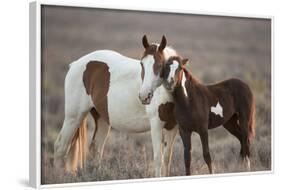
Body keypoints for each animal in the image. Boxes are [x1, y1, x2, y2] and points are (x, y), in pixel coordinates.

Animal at [53, 35, 178, 177]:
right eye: (142, 64)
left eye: (161, 65)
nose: (144, 95)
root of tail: (75, 64)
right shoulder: (156, 125)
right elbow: (158, 158)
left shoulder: (172, 127)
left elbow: (167, 159)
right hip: (73, 117)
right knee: (60, 147)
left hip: (101, 119)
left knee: (96, 149)